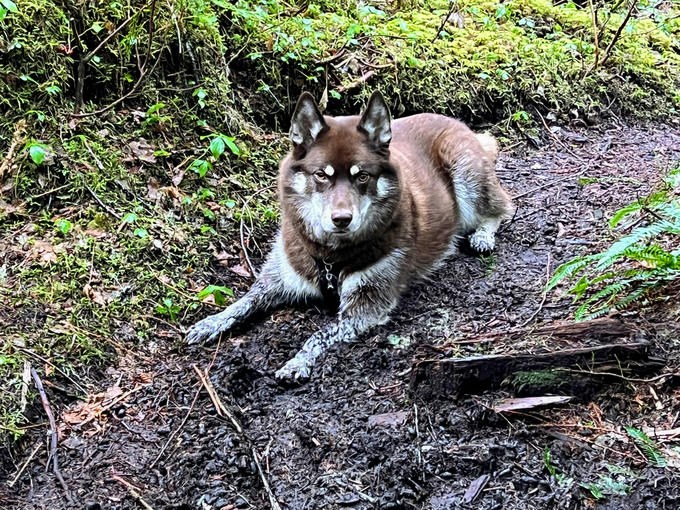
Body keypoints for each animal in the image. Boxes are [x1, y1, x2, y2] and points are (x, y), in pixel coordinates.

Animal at [186, 90, 516, 378]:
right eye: (321, 174)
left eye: (362, 176)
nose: (342, 219)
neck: (330, 254)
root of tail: (457, 122)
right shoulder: (280, 276)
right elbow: (246, 300)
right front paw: (211, 322)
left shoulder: (366, 305)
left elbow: (320, 333)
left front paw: (297, 362)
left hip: (464, 169)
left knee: (503, 206)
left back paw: (483, 236)